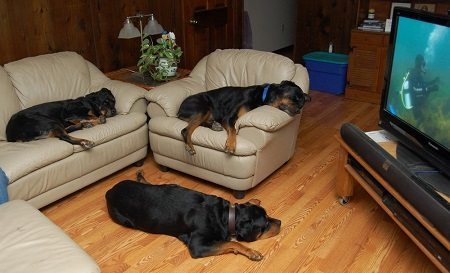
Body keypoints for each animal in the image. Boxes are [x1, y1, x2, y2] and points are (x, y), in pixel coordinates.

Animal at [106, 171, 282, 260]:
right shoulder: (197, 245)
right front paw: (251, 252)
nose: (280, 222)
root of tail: (110, 191)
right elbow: (230, 243)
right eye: (265, 225)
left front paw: (254, 200)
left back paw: (141, 177)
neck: (225, 216)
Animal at [176, 79, 310, 154]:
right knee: (185, 130)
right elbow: (233, 130)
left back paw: (214, 125)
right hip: (203, 107)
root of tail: (179, 110)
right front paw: (230, 145)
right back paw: (190, 146)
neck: (262, 97)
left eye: (302, 104)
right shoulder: (228, 118)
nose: (298, 110)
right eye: (295, 98)